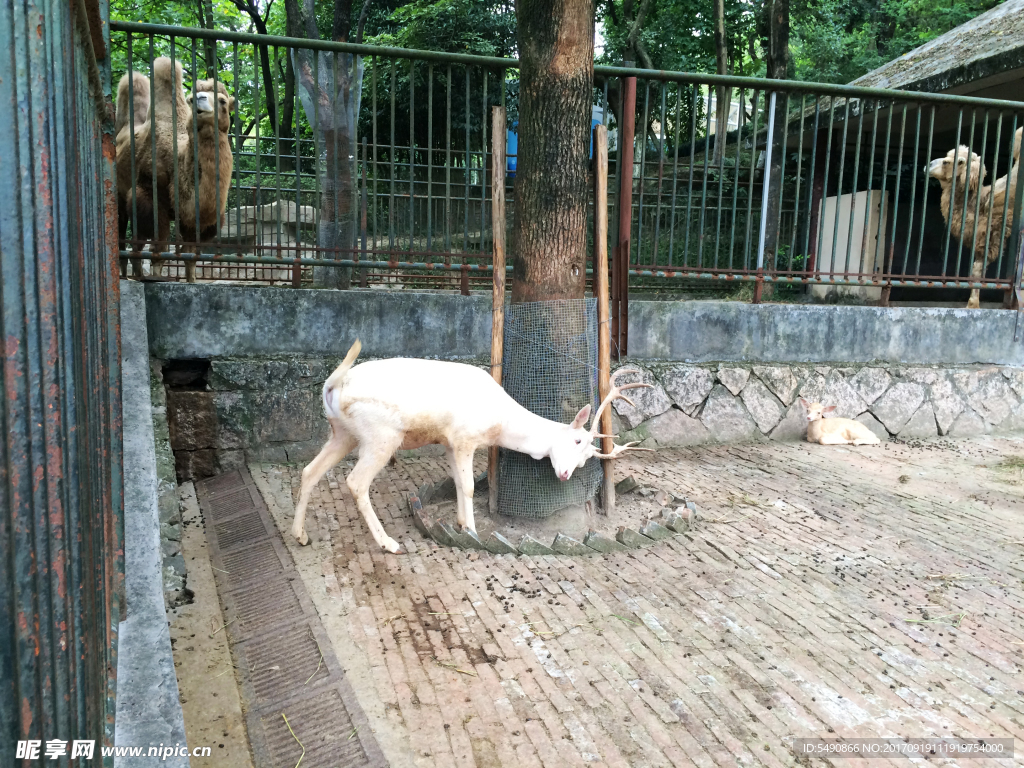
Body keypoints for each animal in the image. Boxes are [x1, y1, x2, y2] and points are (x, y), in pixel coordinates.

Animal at [290, 342, 647, 552]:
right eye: (576, 439)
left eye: (586, 458)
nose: (564, 474)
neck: (499, 419)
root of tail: (332, 386)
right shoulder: (463, 437)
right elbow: (468, 486)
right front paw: (473, 531)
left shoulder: (448, 442)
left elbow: (460, 485)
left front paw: (462, 525)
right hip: (381, 435)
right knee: (355, 482)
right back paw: (389, 543)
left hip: (342, 433)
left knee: (309, 471)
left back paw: (300, 535)